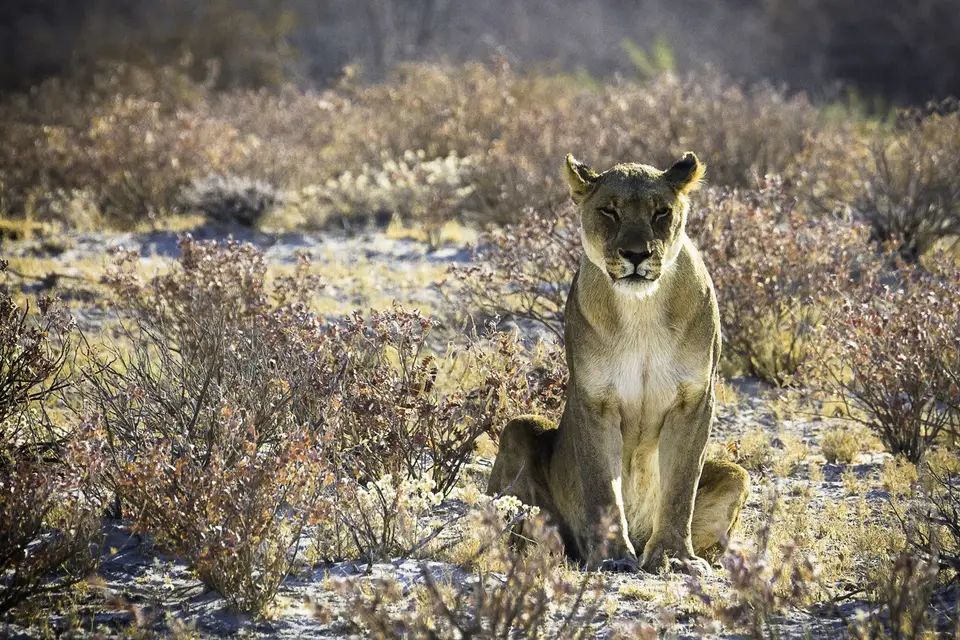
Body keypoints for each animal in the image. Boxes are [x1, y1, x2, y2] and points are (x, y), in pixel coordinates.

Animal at [487, 152, 749, 575]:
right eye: (609, 211)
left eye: (661, 212)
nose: (637, 254)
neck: (641, 309)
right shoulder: (594, 400)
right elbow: (603, 490)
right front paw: (611, 556)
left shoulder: (695, 400)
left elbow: (680, 488)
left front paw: (674, 556)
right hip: (518, 427)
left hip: (736, 473)